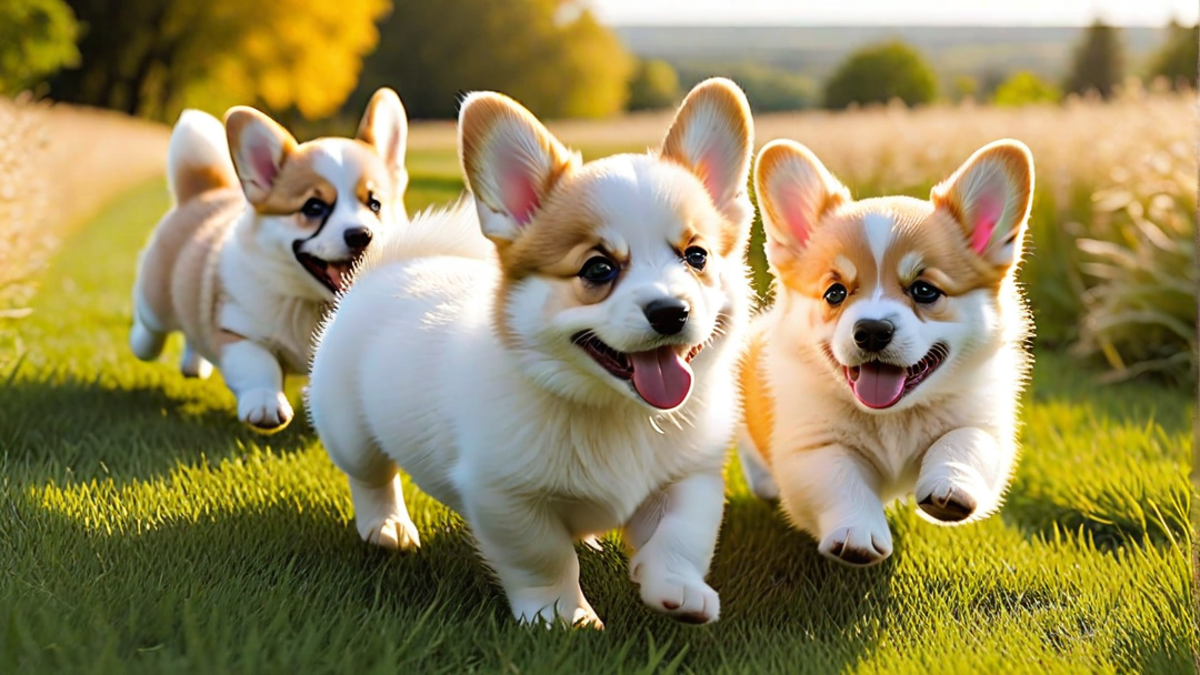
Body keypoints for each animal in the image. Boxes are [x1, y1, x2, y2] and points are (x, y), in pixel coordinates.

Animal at [127, 88, 408, 429]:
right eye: (313, 207)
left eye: (375, 203)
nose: (361, 235)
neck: (311, 303)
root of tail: (202, 192)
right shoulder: (237, 330)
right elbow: (258, 364)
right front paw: (265, 404)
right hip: (156, 297)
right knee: (150, 324)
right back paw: (142, 343)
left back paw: (194, 365)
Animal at [734, 139, 1036, 564]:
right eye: (835, 293)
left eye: (924, 290)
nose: (873, 331)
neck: (892, 417)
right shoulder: (813, 446)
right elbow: (841, 481)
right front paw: (857, 534)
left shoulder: (981, 421)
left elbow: (964, 443)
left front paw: (951, 488)